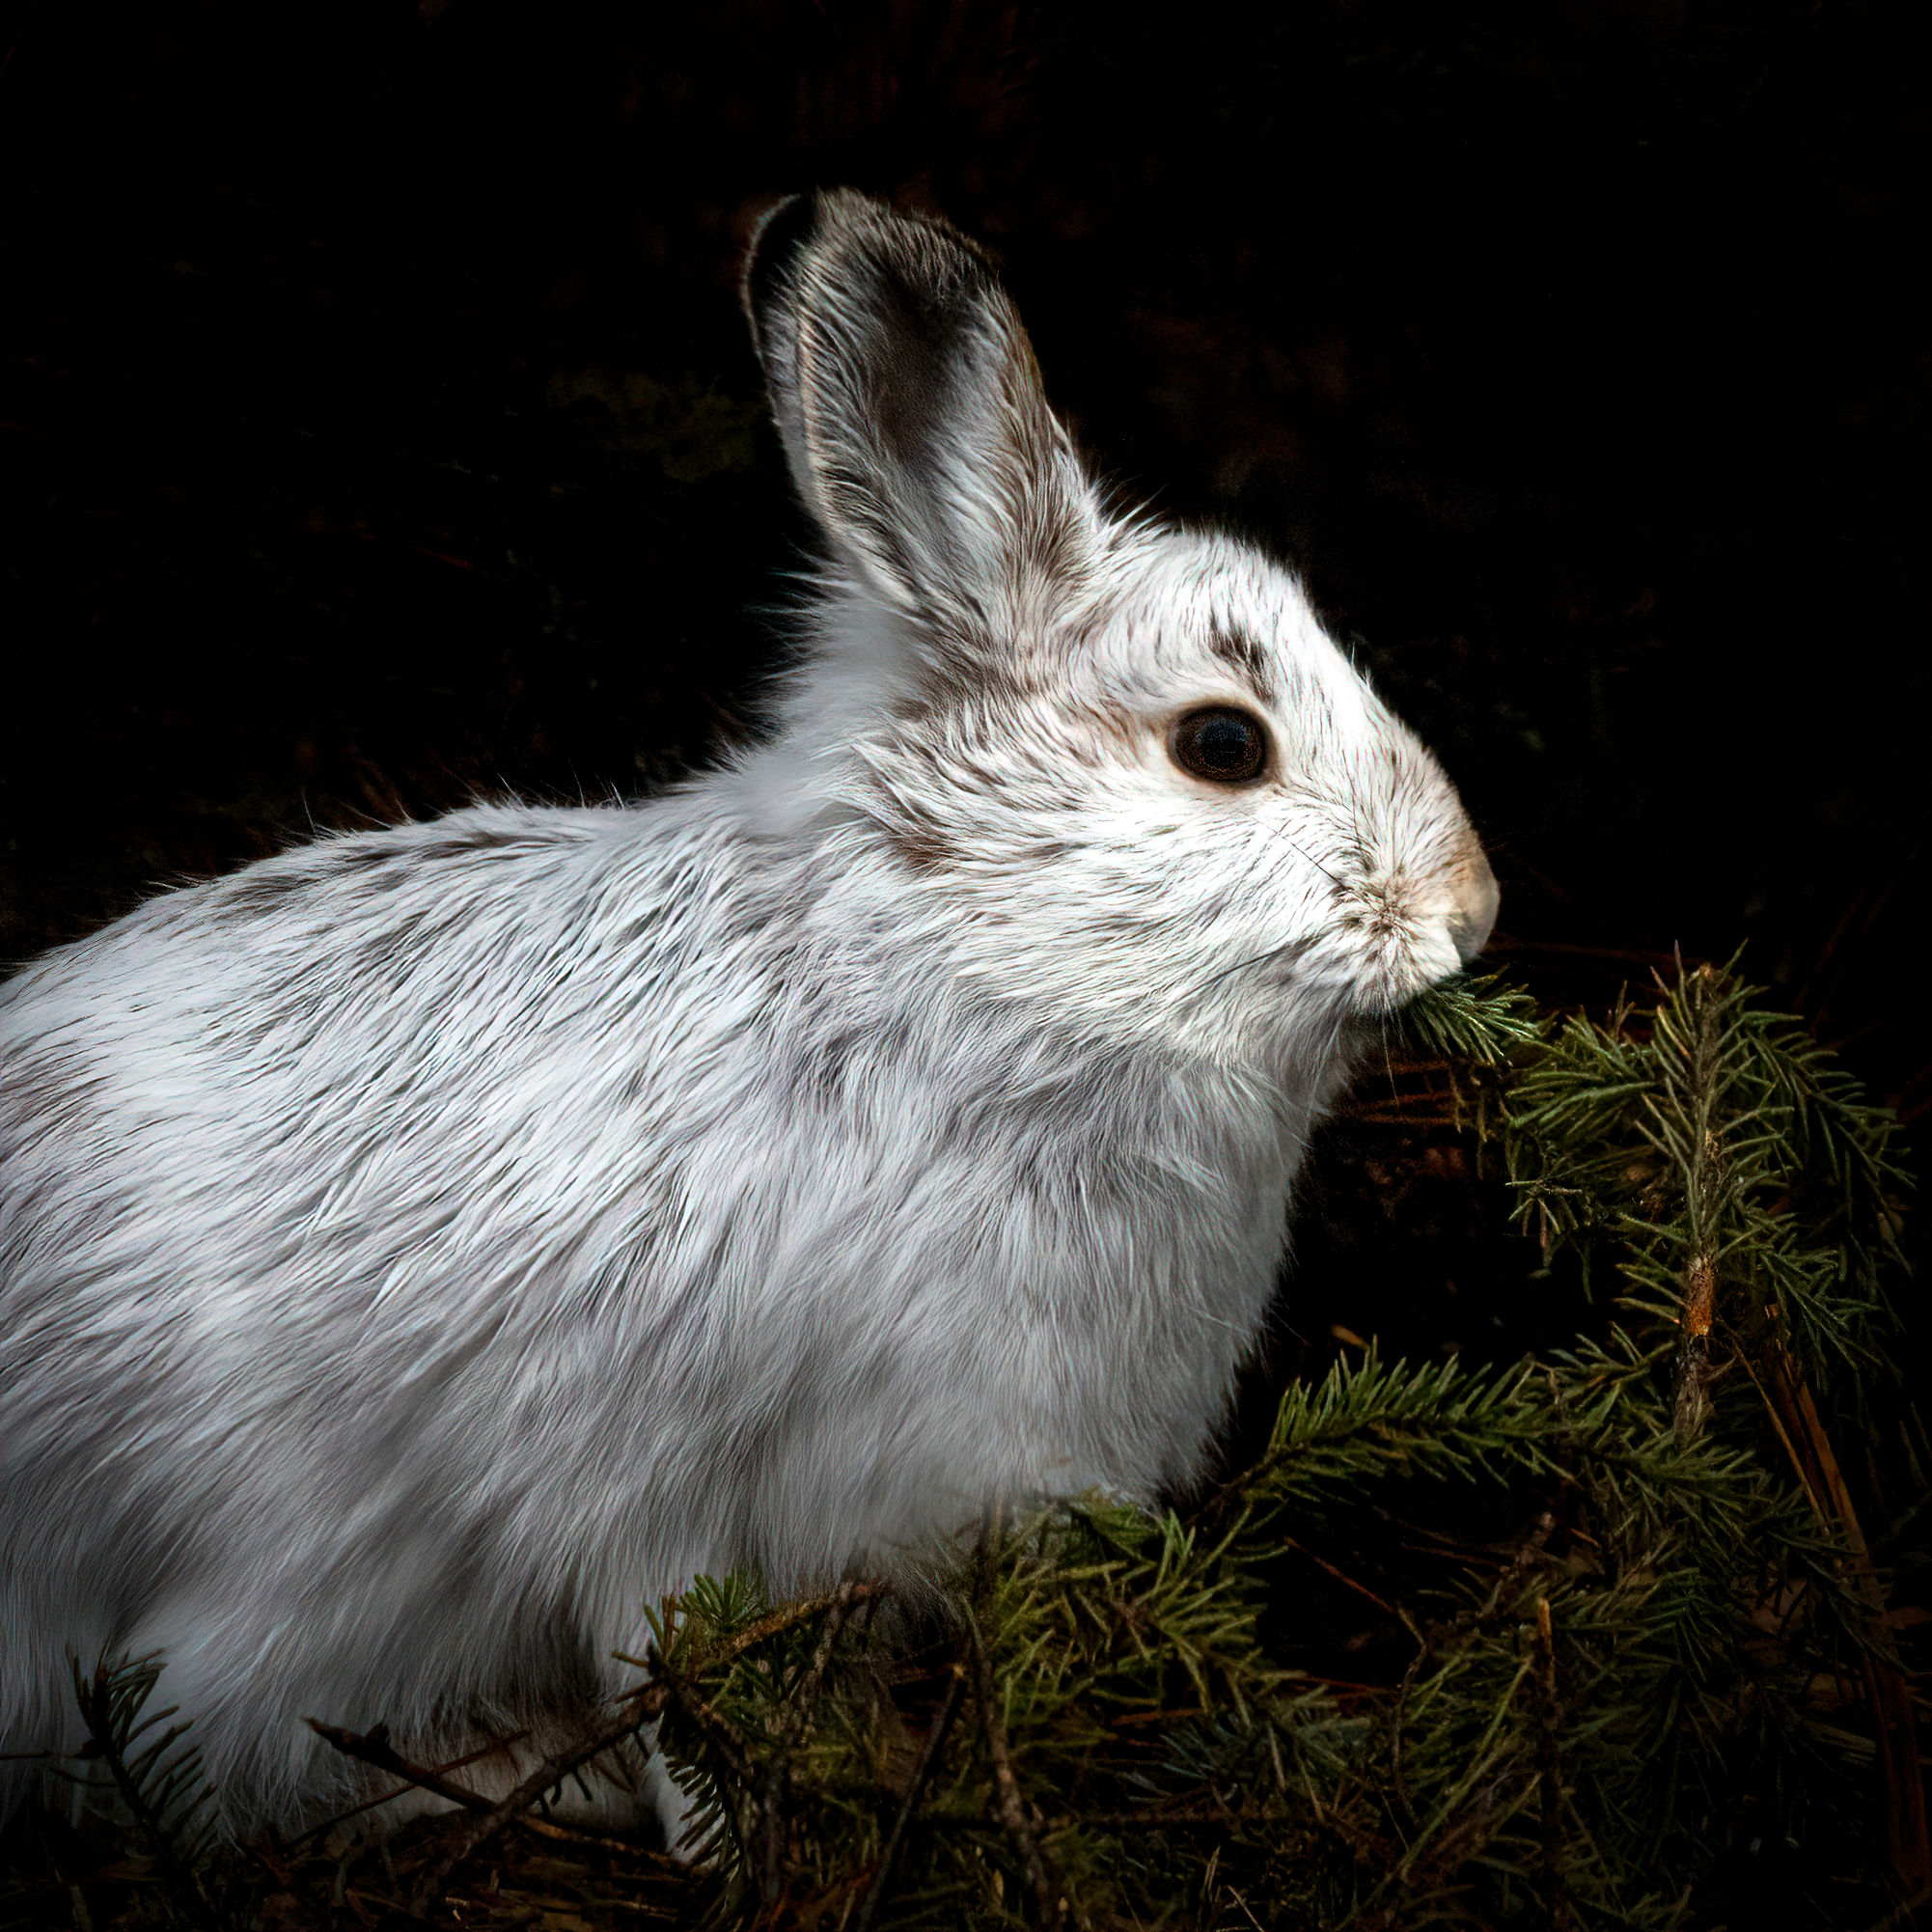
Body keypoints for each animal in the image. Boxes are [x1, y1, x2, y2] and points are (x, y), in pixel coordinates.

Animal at [0, 188, 1498, 1847]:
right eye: (1222, 745)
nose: (1471, 907)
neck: (957, 973)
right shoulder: (640, 1487)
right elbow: (673, 1674)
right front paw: (737, 1834)